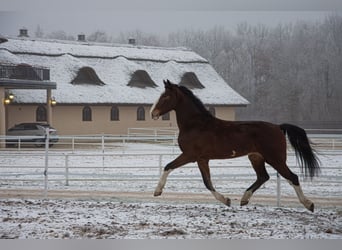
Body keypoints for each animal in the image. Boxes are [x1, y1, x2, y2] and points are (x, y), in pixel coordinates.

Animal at [150, 79, 320, 211]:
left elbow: (168, 166)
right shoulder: (202, 159)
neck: (195, 124)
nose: (153, 113)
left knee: (292, 177)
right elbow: (207, 182)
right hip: (256, 157)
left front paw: (157, 191)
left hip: (275, 159)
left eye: (165, 96)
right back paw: (244, 199)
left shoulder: (189, 155)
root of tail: (279, 127)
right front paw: (226, 200)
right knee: (263, 177)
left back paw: (309, 204)